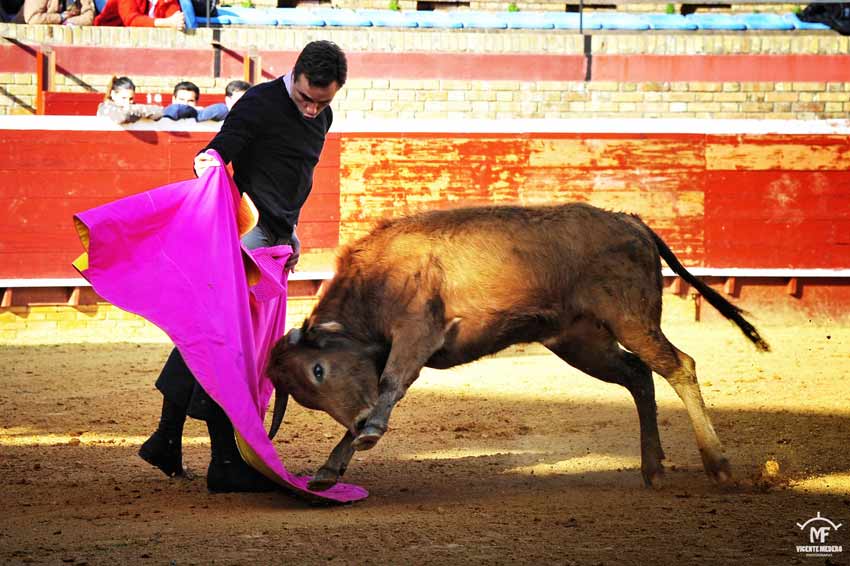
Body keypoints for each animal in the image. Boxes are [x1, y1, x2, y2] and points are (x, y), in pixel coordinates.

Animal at [266, 204, 768, 492]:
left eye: (318, 370)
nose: (356, 423)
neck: (378, 278)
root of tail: (633, 221)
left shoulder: (416, 333)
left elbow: (388, 386)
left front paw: (366, 435)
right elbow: (380, 396)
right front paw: (330, 468)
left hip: (632, 320)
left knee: (679, 365)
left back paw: (718, 465)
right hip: (580, 341)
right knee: (638, 376)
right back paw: (652, 467)